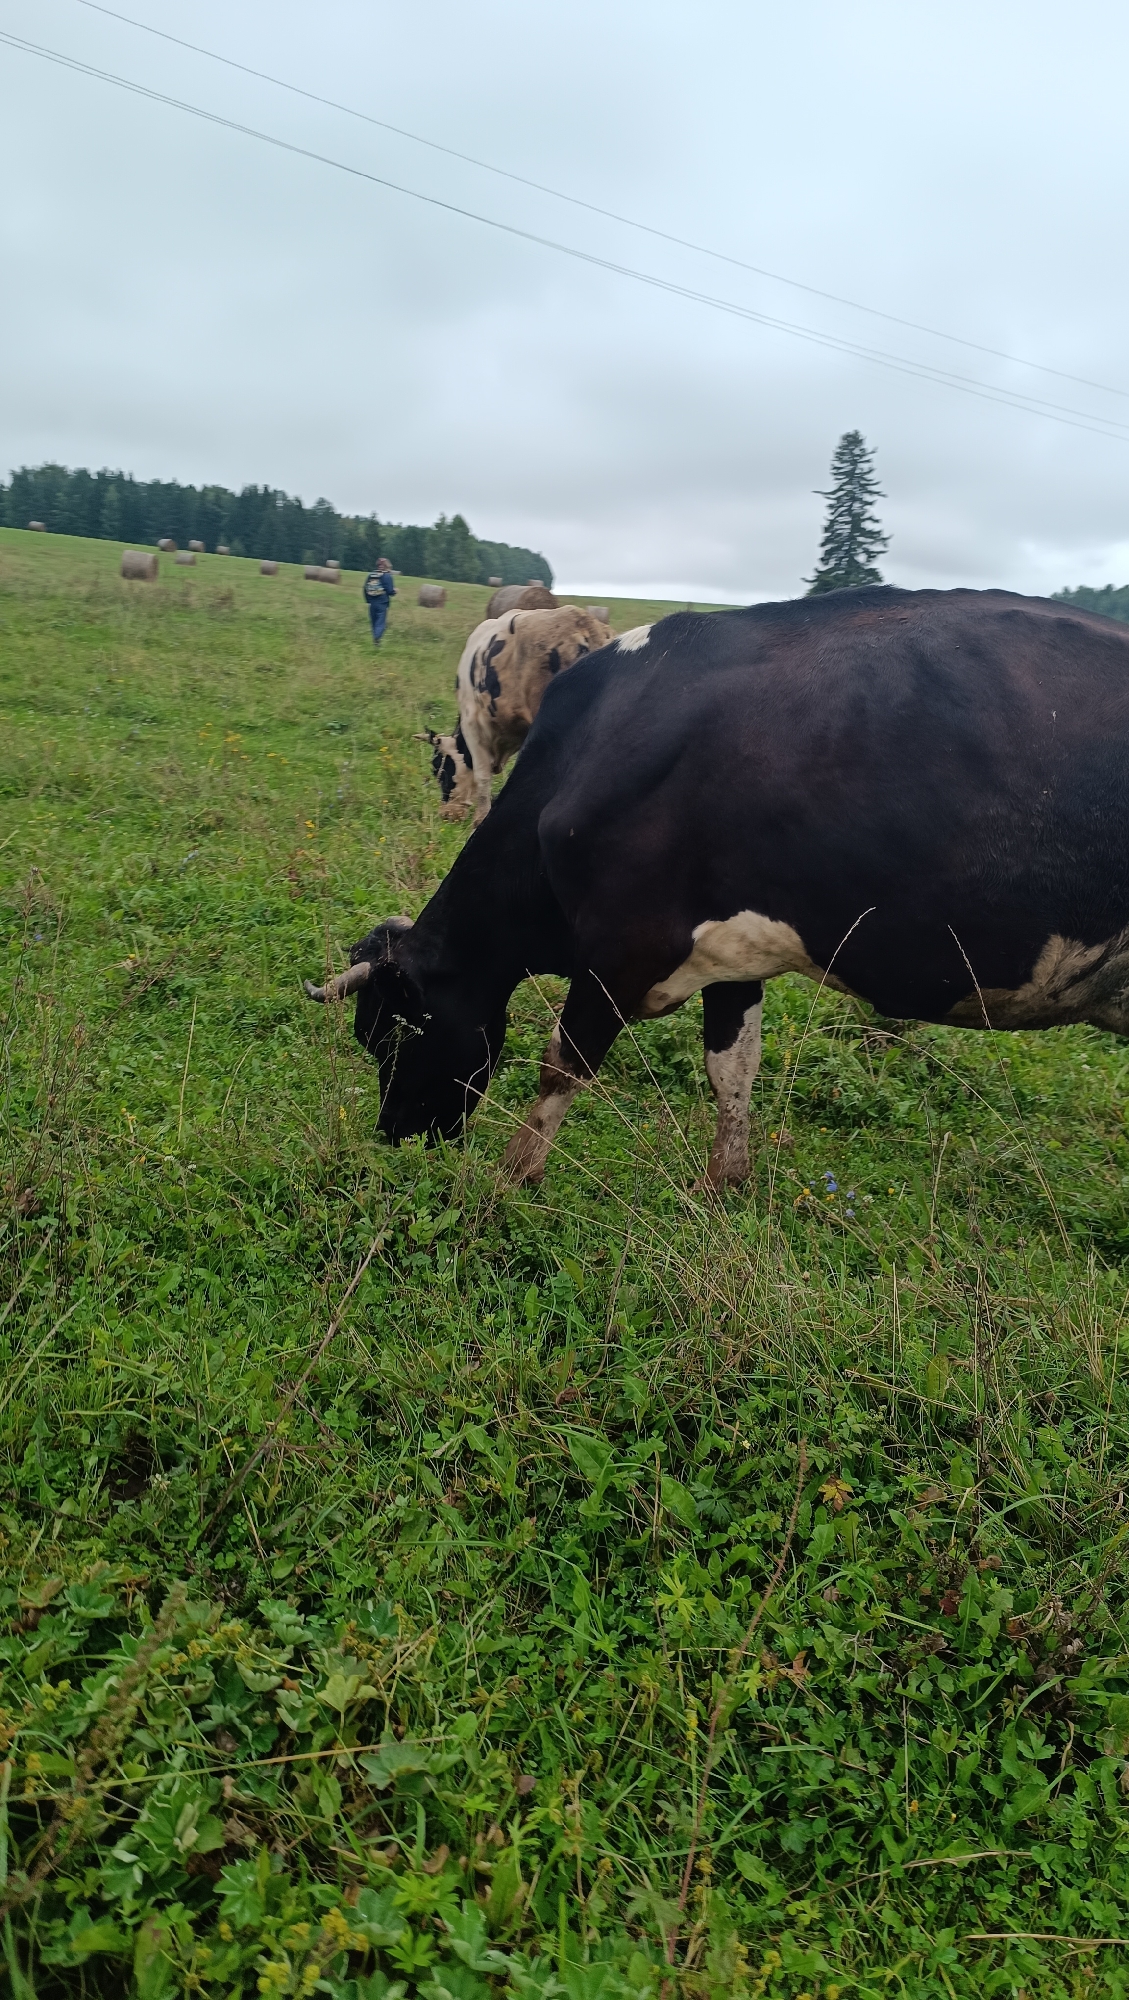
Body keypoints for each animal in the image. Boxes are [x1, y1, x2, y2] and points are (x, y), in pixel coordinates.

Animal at [425, 605, 612, 825]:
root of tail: (583, 622)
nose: (446, 814)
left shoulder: (473, 723)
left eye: (438, 768)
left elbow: (482, 775)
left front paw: (480, 819)